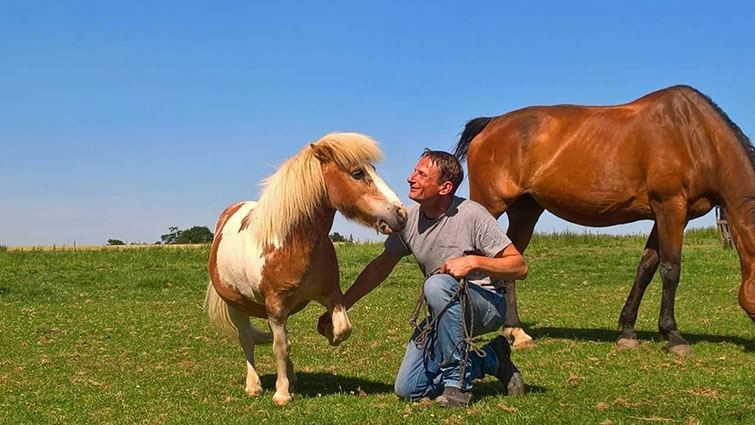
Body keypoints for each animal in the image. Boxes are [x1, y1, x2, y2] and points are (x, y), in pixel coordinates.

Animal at [204, 133, 406, 405]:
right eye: (357, 173)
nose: (401, 214)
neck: (293, 242)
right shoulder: (276, 305)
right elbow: (279, 347)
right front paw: (281, 394)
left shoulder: (330, 294)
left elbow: (343, 328)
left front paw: (329, 332)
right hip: (236, 305)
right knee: (247, 340)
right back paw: (254, 385)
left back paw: (290, 377)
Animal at [453, 85, 755, 355]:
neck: (694, 136)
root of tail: (490, 124)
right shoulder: (671, 208)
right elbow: (670, 270)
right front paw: (673, 336)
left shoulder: (662, 215)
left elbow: (646, 267)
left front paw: (628, 332)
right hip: (488, 206)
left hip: (525, 211)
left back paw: (516, 331)